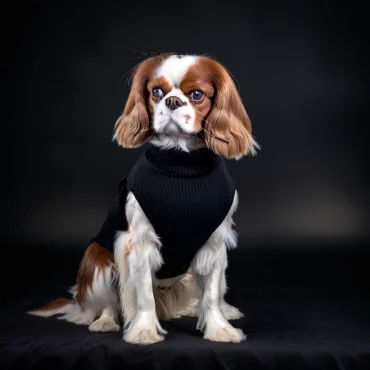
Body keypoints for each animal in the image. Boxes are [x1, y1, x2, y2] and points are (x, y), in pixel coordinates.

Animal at [28, 52, 258, 344]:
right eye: (156, 92)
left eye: (196, 95)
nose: (172, 101)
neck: (181, 163)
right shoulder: (139, 243)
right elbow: (144, 295)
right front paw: (144, 331)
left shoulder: (215, 243)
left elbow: (212, 294)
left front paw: (219, 329)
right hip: (98, 257)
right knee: (109, 302)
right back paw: (104, 322)